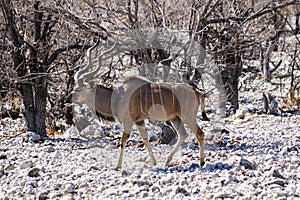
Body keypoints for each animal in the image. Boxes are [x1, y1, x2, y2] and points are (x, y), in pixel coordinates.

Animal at [73, 42, 206, 169]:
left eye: (79, 89)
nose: (70, 98)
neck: (118, 96)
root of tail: (197, 93)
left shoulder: (128, 122)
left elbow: (123, 141)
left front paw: (118, 165)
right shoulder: (139, 121)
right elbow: (145, 139)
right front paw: (154, 162)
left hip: (187, 117)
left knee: (199, 133)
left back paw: (201, 162)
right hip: (175, 118)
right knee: (183, 135)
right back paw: (167, 161)